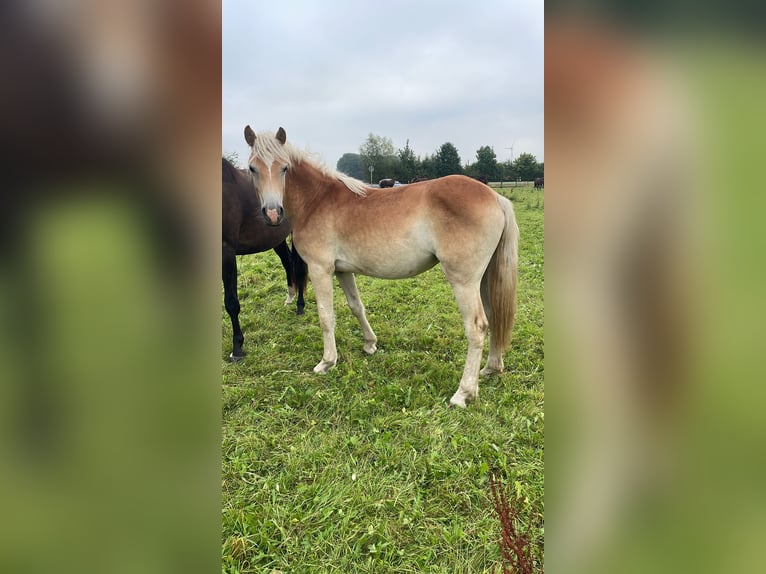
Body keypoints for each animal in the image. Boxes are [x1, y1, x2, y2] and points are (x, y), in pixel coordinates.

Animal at [220, 158, 308, 362]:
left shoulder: (226, 252)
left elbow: (231, 303)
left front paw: (237, 348)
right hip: (276, 238)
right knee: (288, 262)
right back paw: (289, 297)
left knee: (299, 268)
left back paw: (300, 306)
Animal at [246, 126, 520, 410]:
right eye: (252, 168)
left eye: (284, 168)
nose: (273, 213)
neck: (317, 200)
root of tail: (495, 196)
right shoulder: (343, 270)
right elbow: (356, 307)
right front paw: (370, 344)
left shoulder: (321, 269)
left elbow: (325, 316)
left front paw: (327, 361)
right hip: (485, 278)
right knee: (494, 316)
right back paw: (491, 368)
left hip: (464, 281)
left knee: (476, 327)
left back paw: (463, 392)